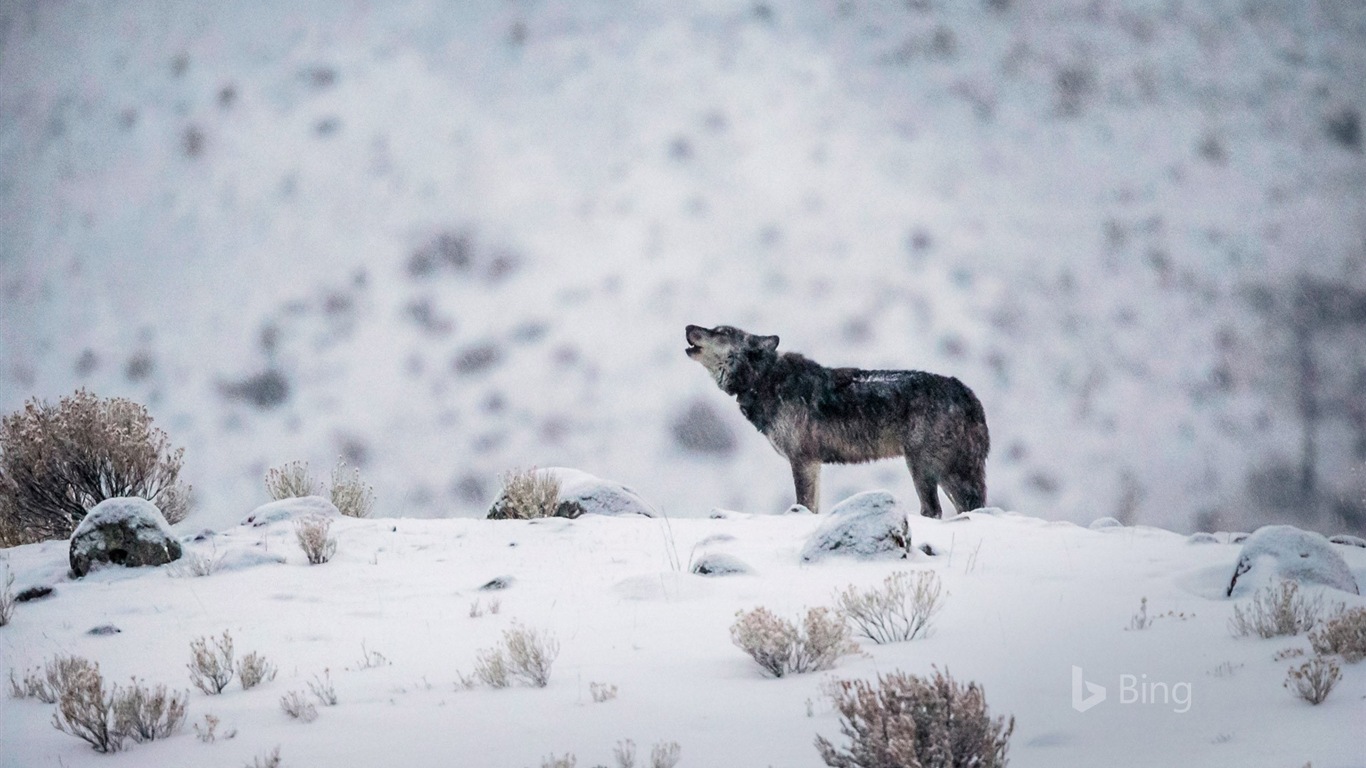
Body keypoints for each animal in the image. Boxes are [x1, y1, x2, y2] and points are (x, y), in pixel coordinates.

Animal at [683, 322, 994, 513]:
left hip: (924, 467)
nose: (688, 327)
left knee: (935, 509)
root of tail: (968, 394)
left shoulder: (803, 460)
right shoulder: (814, 464)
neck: (763, 380)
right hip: (947, 472)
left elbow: (804, 504)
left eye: (721, 332)